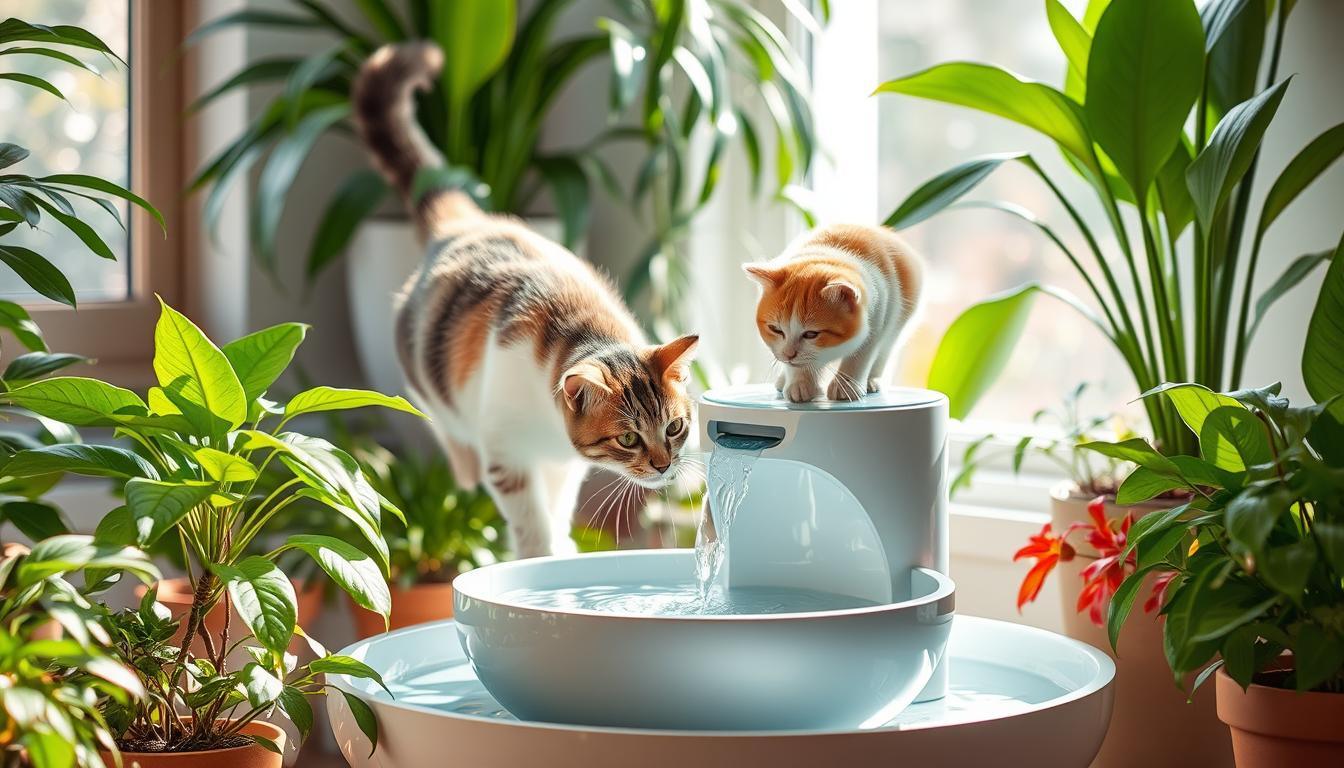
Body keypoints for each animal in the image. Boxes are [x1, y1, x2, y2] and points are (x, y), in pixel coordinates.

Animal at [352, 43, 698, 559]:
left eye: (675, 427)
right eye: (628, 438)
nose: (663, 466)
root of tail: (468, 223)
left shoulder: (564, 464)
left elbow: (555, 507)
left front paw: (561, 547)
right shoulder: (508, 453)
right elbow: (530, 519)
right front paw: (538, 561)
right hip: (422, 370)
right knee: (443, 421)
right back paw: (463, 464)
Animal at [741, 223, 919, 403]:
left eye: (811, 334)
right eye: (775, 329)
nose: (789, 354)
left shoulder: (878, 317)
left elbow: (861, 355)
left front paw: (847, 386)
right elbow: (799, 364)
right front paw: (799, 383)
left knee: (884, 351)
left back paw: (870, 381)